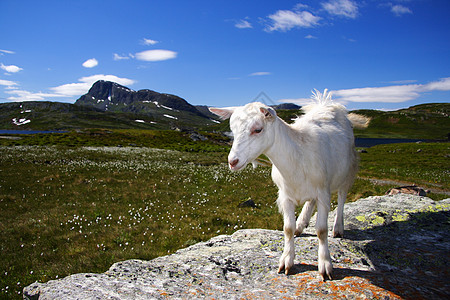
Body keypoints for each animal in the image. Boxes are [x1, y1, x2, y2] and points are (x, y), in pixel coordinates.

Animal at [210, 89, 358, 282]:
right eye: (232, 131)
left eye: (258, 129)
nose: (233, 162)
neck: (298, 156)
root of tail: (327, 105)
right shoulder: (285, 195)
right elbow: (287, 229)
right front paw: (286, 260)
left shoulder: (323, 193)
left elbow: (321, 230)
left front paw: (325, 265)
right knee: (310, 202)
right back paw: (301, 223)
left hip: (348, 170)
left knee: (342, 197)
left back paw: (338, 228)